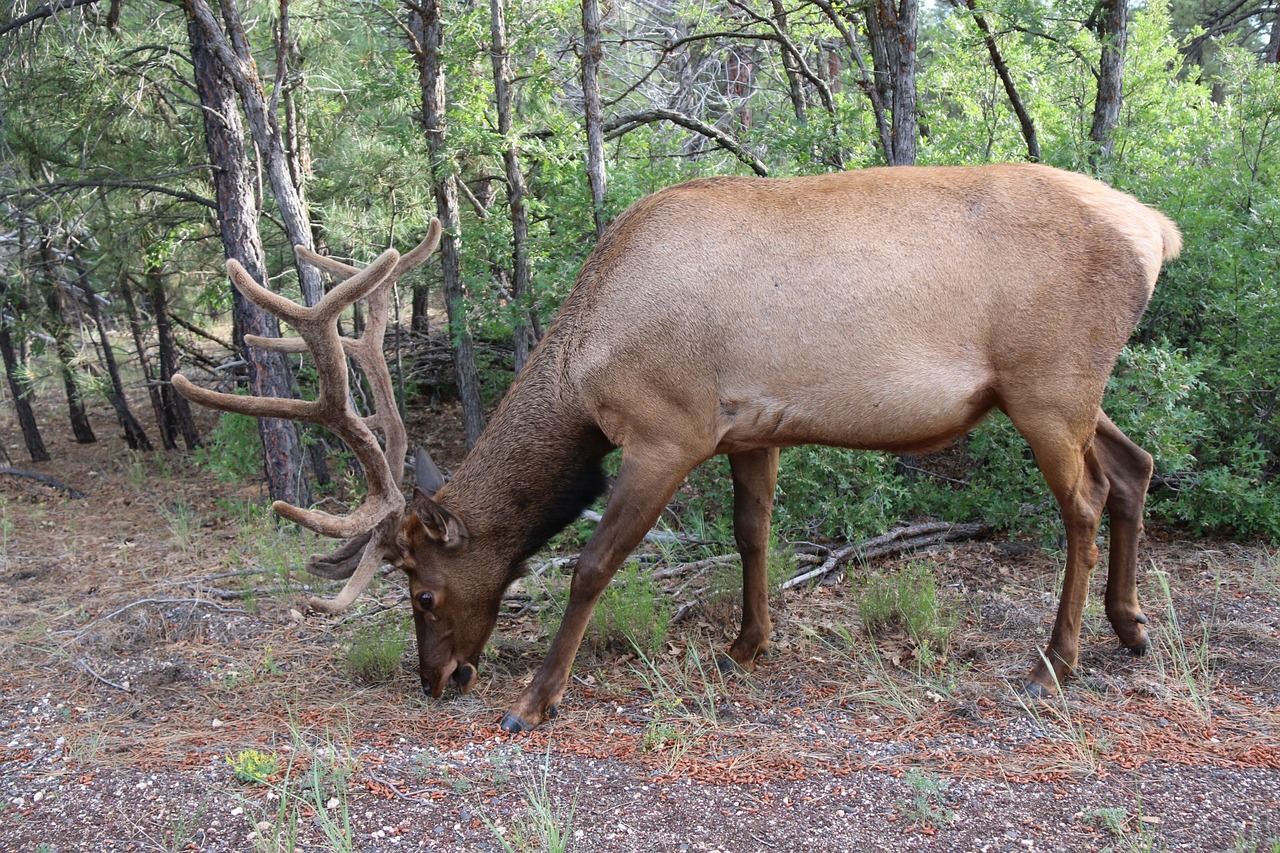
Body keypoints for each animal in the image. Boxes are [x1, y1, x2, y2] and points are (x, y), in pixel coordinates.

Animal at [177, 161, 1177, 732]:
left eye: (422, 590)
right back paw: (1129, 627)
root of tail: (1157, 230)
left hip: (1047, 383)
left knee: (1083, 502)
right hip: (1066, 390)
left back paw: (1057, 657)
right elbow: (753, 533)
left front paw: (535, 699)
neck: (587, 359)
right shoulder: (750, 426)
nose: (439, 680)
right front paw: (746, 644)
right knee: (1136, 467)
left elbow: (590, 564)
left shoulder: (668, 430)